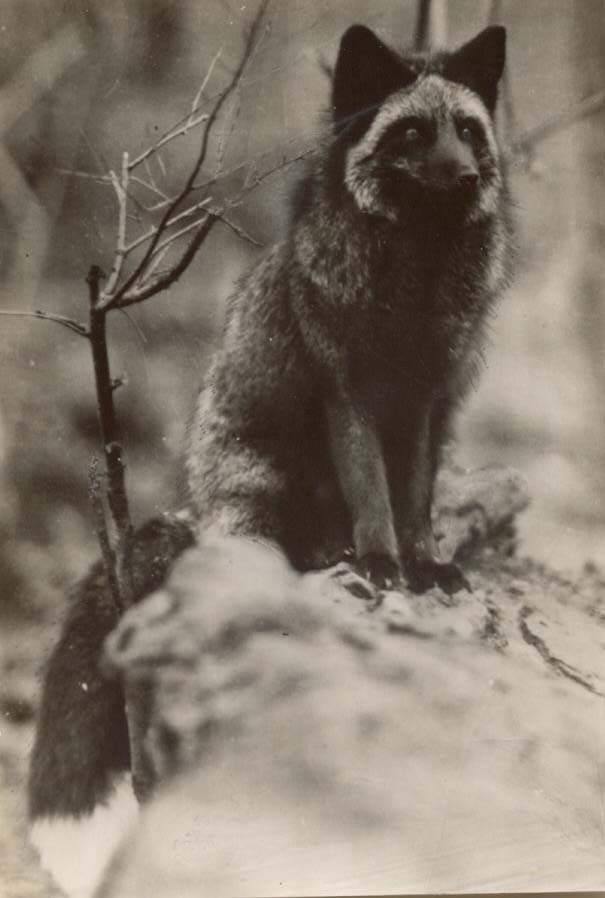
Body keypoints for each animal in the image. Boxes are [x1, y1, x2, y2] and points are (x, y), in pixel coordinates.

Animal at [29, 22, 512, 898]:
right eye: (411, 134)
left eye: (466, 130)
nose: (462, 175)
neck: (413, 281)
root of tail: (189, 508)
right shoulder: (347, 392)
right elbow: (373, 497)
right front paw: (381, 563)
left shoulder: (427, 403)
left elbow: (415, 498)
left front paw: (426, 566)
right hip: (257, 485)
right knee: (265, 547)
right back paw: (322, 554)